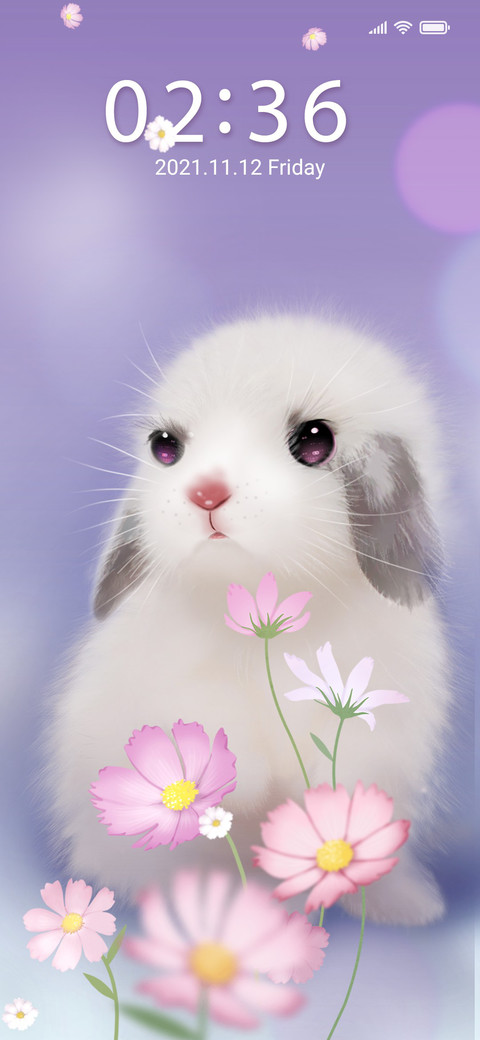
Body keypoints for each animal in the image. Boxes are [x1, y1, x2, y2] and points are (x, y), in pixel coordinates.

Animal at [46, 312, 451, 925]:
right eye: (165, 447)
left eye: (316, 441)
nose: (205, 492)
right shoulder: (172, 689)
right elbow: (206, 733)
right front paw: (245, 784)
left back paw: (405, 905)